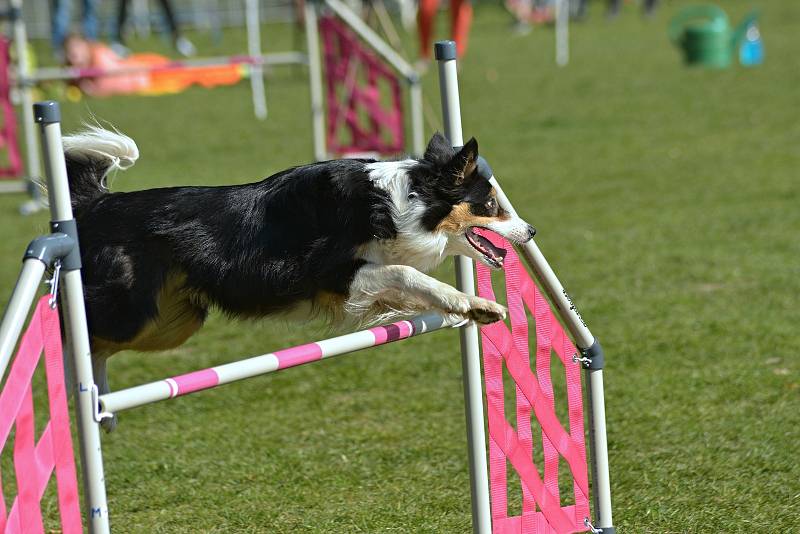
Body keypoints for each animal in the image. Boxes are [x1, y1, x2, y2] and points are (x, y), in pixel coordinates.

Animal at [62, 127, 536, 426]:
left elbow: (405, 284)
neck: (397, 203)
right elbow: (405, 272)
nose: (531, 231)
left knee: (99, 345)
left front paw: (476, 307)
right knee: (79, 334)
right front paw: (466, 301)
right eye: (491, 205)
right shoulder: (329, 274)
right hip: (132, 309)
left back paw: (99, 403)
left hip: (172, 321)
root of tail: (97, 204)